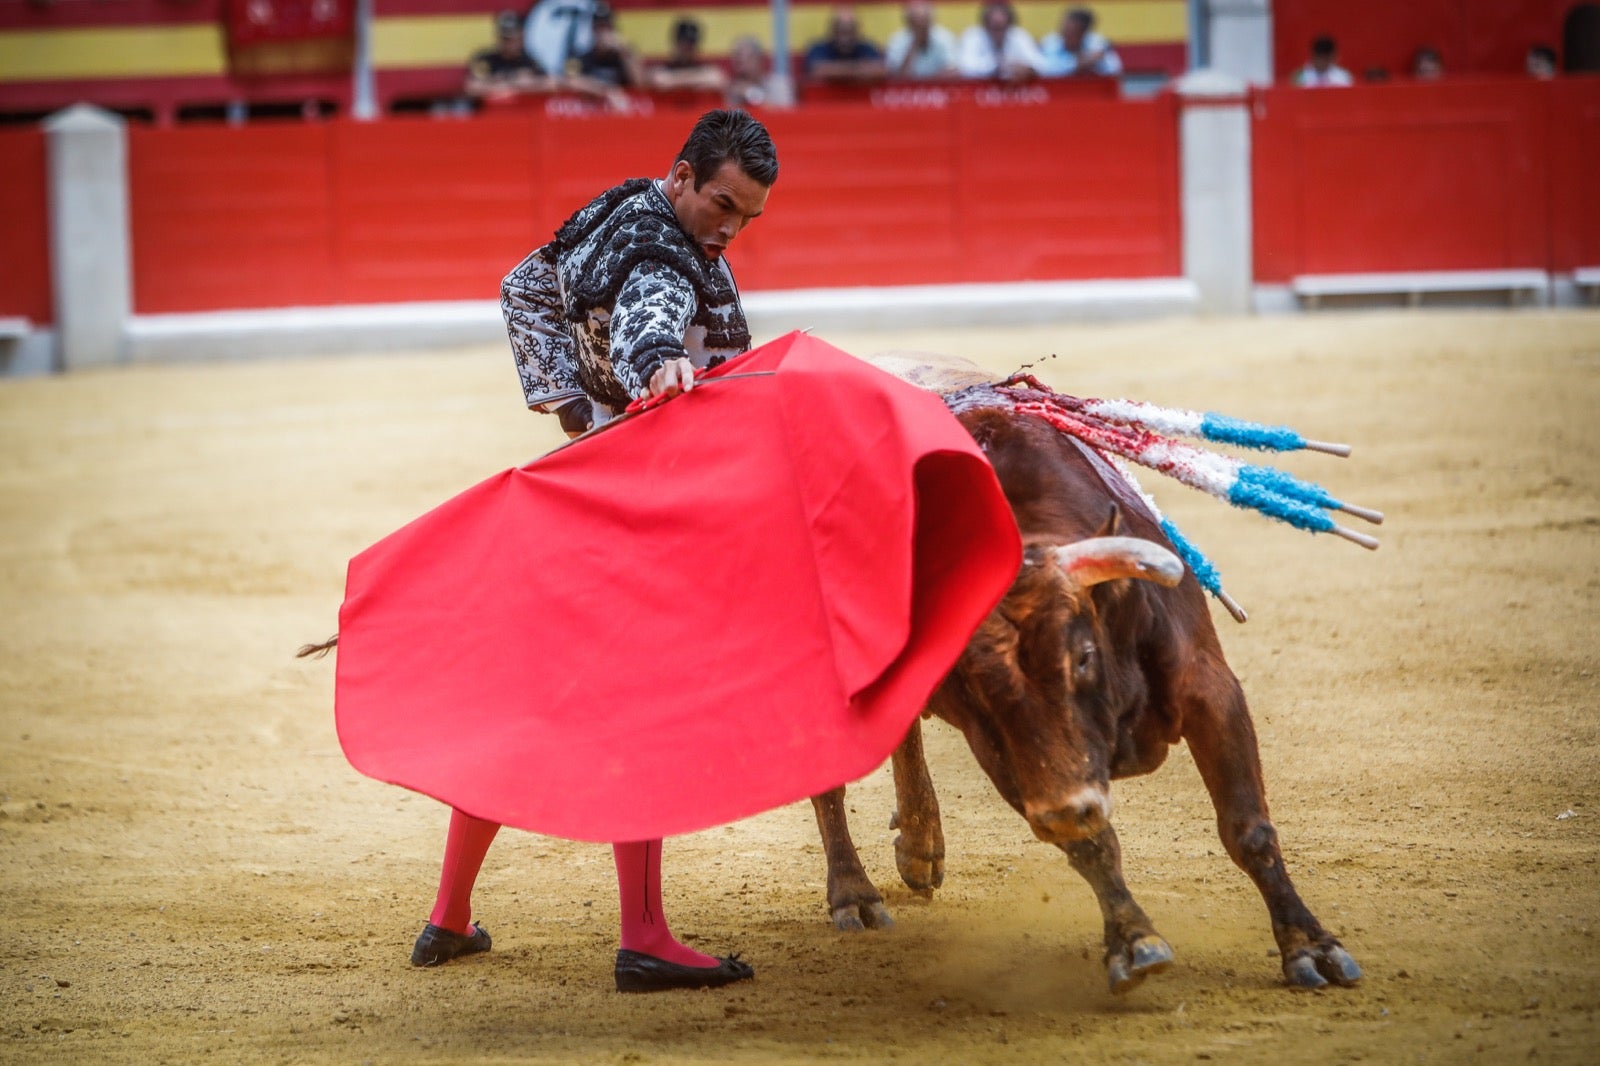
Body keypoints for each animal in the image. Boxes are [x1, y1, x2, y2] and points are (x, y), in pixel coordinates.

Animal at [812, 382, 1363, 985]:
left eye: (1083, 656)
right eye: (977, 689)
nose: (1063, 810)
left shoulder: (1209, 688)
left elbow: (1249, 827)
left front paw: (1310, 947)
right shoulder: (1015, 761)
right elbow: (1092, 844)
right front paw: (1134, 940)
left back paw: (919, 847)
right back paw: (856, 894)